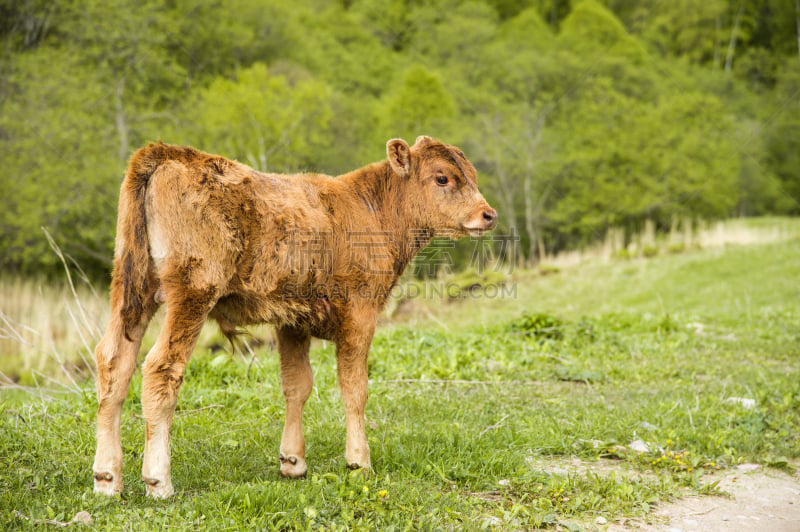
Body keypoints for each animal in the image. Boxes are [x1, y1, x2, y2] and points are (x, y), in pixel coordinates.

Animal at [92, 135, 494, 496]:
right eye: (442, 178)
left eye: (472, 175)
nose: (488, 214)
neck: (372, 212)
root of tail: (170, 152)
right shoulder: (359, 313)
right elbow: (354, 388)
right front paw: (359, 462)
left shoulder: (292, 319)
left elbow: (297, 385)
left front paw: (292, 461)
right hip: (193, 290)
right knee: (161, 367)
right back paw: (158, 480)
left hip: (132, 287)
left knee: (114, 361)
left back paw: (107, 478)